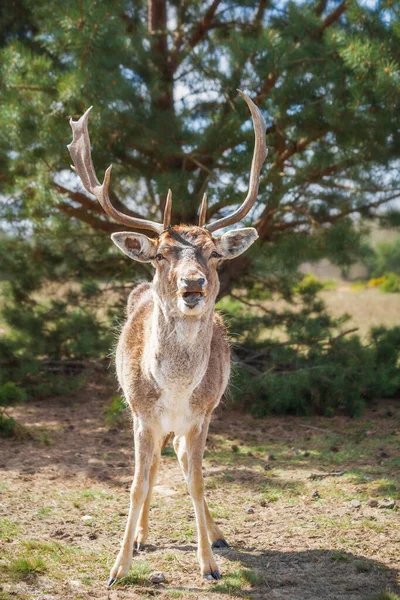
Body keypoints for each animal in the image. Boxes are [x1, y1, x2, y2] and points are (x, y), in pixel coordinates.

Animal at [68, 91, 268, 584]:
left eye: (214, 253)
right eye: (160, 254)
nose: (192, 285)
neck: (176, 389)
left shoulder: (200, 416)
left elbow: (196, 480)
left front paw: (210, 564)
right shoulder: (142, 414)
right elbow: (137, 483)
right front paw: (118, 566)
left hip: (202, 416)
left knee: (177, 457)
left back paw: (217, 535)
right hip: (141, 415)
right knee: (156, 463)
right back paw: (141, 537)